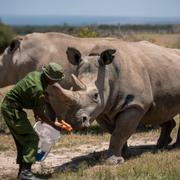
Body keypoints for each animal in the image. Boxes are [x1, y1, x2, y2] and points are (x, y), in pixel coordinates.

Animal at [51, 41, 180, 165]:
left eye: (96, 95)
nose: (74, 122)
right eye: (72, 88)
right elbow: (115, 132)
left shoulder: (135, 105)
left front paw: (113, 161)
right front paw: (124, 154)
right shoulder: (103, 109)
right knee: (160, 109)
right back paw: (161, 145)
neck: (109, 74)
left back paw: (175, 147)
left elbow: (119, 133)